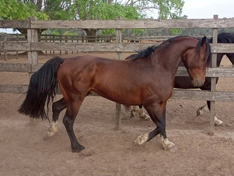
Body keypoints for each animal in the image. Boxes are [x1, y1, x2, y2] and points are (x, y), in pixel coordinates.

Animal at [18, 35, 212, 153]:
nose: (200, 82)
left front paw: (164, 143)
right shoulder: (151, 104)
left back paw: (51, 131)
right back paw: (77, 146)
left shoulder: (161, 103)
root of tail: (64, 61)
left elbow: (162, 125)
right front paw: (142, 140)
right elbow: (160, 124)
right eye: (203, 57)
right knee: (68, 120)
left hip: (72, 97)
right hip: (76, 98)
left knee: (56, 107)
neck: (158, 67)